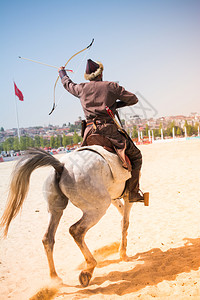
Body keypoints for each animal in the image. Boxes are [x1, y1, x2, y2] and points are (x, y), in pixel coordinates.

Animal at [0, 146, 148, 288]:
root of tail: (61, 165)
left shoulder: (114, 197)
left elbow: (122, 216)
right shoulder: (127, 196)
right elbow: (125, 222)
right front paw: (123, 254)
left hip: (56, 209)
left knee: (48, 238)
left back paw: (55, 278)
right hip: (97, 208)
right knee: (76, 231)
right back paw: (88, 269)